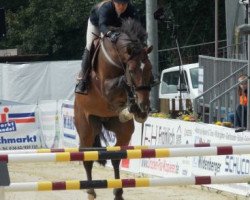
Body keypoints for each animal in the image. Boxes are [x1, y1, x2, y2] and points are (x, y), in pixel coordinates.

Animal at [73, 18, 153, 199]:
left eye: (150, 69)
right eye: (132, 70)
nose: (144, 106)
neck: (117, 58)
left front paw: (136, 110)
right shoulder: (107, 88)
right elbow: (123, 80)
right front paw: (132, 107)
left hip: (123, 131)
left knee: (116, 157)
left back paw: (118, 192)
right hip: (86, 129)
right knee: (87, 157)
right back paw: (90, 191)